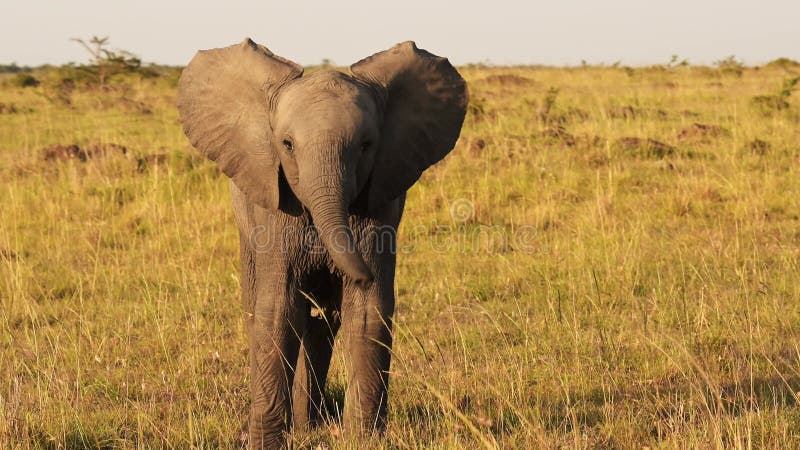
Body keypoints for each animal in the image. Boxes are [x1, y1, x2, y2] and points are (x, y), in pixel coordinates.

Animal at [175, 37, 462, 446]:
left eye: (366, 146)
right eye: (287, 145)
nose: (360, 274)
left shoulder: (380, 204)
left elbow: (367, 311)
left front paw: (363, 442)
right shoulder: (277, 210)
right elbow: (278, 309)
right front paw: (264, 444)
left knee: (321, 327)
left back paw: (308, 424)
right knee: (267, 311)